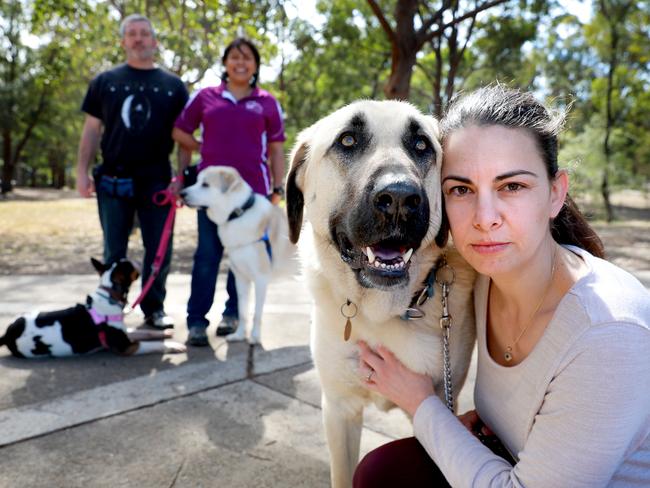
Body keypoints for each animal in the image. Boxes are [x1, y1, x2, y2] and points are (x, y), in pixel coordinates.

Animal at [1, 260, 186, 358]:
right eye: (130, 265)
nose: (140, 262)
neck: (110, 297)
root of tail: (7, 335)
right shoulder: (127, 347)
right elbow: (152, 344)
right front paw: (173, 345)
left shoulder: (126, 333)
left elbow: (145, 332)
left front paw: (166, 333)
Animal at [182, 166, 294, 346]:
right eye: (196, 181)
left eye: (205, 184)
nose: (181, 193)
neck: (238, 214)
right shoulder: (241, 278)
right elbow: (242, 311)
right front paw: (240, 335)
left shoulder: (261, 279)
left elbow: (257, 313)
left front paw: (255, 337)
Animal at [284, 100, 476, 488]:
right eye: (347, 140)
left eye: (421, 145)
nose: (400, 197)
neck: (382, 313)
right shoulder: (338, 409)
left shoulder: (435, 404)